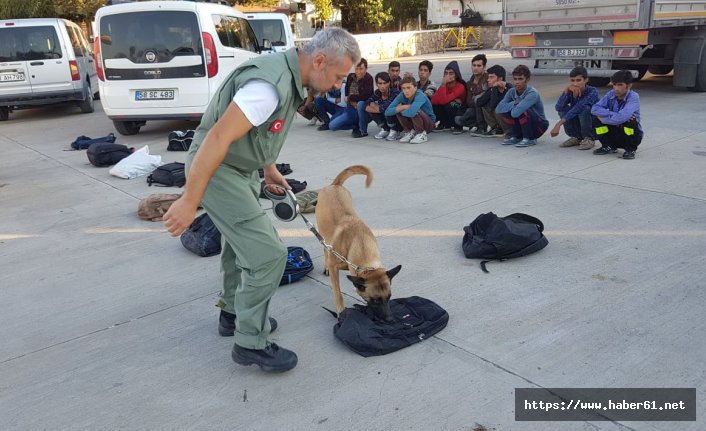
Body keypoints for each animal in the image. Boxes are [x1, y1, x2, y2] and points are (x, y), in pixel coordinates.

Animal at [314, 165, 398, 320]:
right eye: (375, 300)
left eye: (389, 297)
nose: (390, 319)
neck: (360, 242)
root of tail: (334, 185)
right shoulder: (334, 266)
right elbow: (338, 293)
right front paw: (341, 312)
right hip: (322, 232)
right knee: (324, 249)